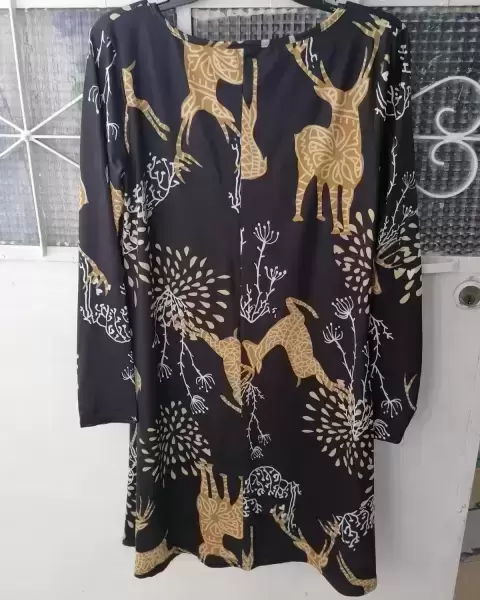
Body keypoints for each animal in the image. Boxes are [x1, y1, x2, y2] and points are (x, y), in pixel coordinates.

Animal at [287, 16, 389, 234]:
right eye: (334, 98)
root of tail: (300, 132)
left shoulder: (351, 184)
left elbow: (346, 205)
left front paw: (346, 229)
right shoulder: (334, 181)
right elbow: (335, 204)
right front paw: (336, 229)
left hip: (319, 172)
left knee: (318, 187)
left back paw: (319, 216)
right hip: (305, 166)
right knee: (301, 187)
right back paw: (298, 217)